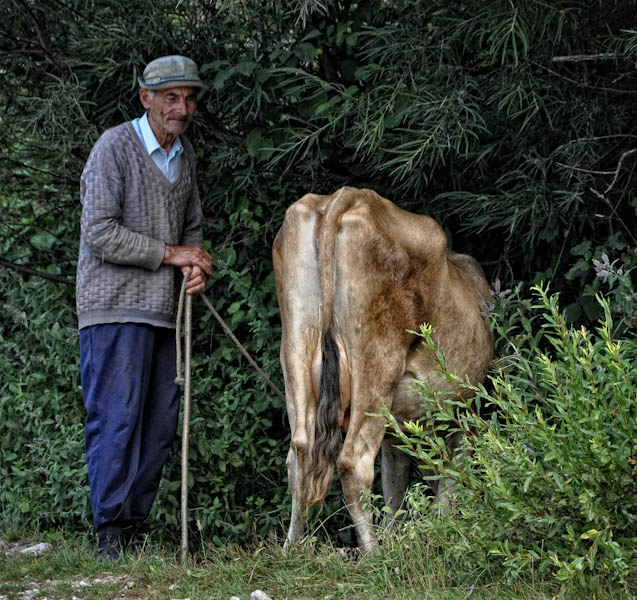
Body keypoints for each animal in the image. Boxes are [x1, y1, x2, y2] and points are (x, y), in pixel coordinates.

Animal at [272, 188, 492, 552]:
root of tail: (348, 196)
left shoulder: (397, 432)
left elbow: (394, 488)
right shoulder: (465, 414)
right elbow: (448, 481)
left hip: (296, 351)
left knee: (299, 454)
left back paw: (293, 547)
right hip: (376, 368)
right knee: (353, 464)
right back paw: (374, 553)